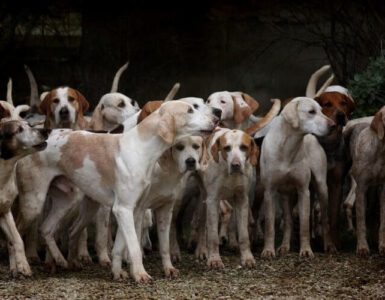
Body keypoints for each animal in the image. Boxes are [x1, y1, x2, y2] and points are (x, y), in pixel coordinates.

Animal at [260, 96, 334, 258]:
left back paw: (329, 245)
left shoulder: (303, 191)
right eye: (311, 112)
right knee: (288, 220)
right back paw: (284, 246)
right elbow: (269, 225)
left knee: (325, 219)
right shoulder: (269, 192)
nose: (333, 125)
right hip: (286, 196)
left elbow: (305, 224)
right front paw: (268, 250)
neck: (287, 147)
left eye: (321, 110)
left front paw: (306, 250)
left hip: (322, 187)